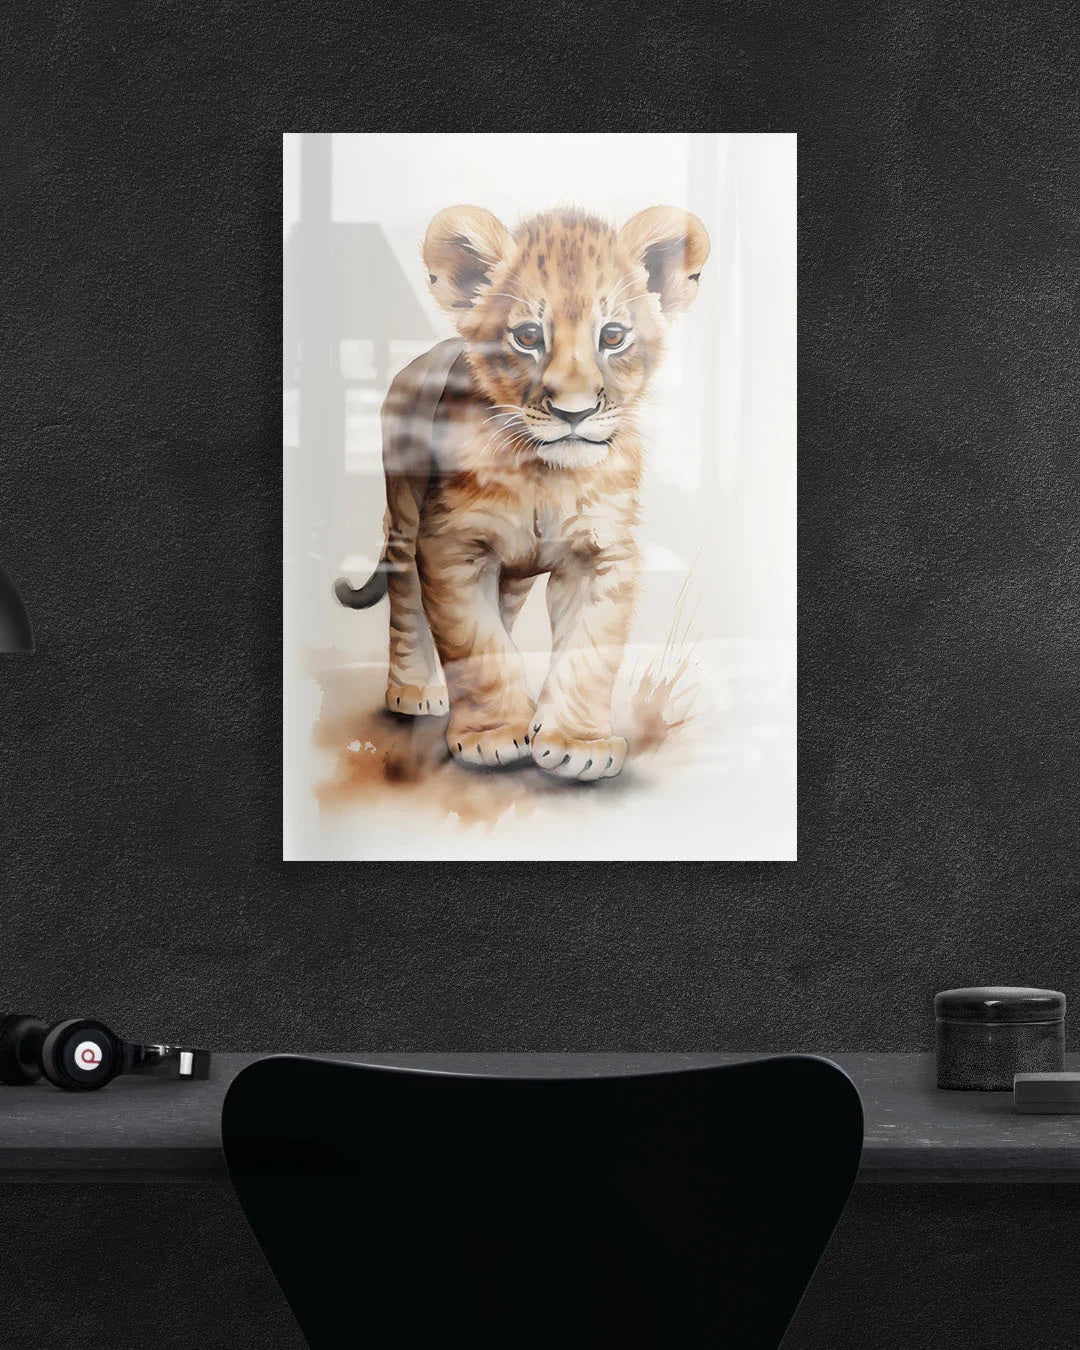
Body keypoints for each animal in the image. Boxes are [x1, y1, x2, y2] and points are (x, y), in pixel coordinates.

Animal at [334, 204, 709, 781]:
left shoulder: (602, 554)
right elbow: (475, 641)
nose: (575, 412)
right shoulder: (450, 544)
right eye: (528, 336)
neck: (544, 472)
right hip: (403, 518)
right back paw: (414, 690)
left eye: (613, 336)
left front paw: (578, 743)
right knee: (407, 602)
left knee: (504, 611)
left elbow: (588, 649)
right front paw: (491, 735)